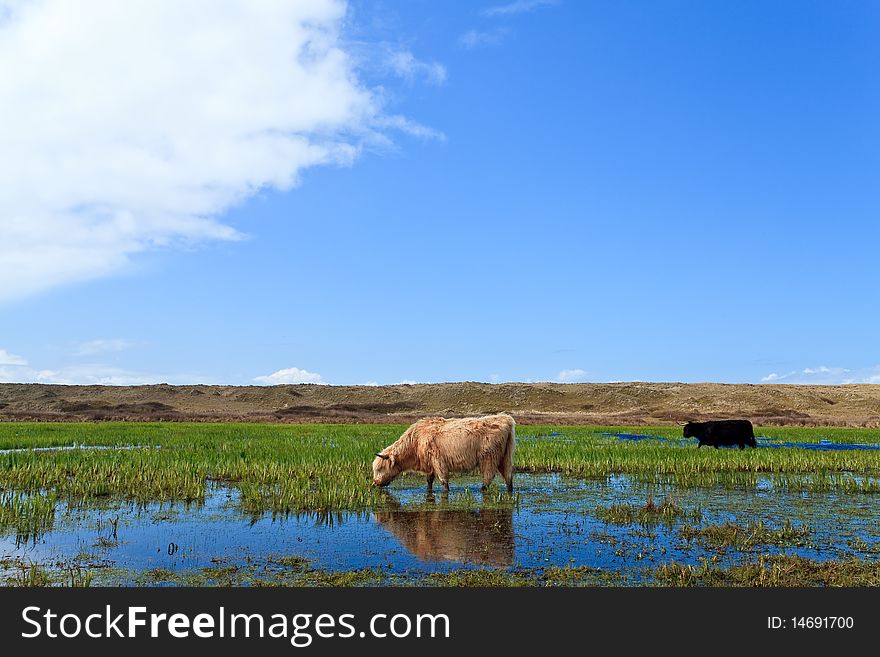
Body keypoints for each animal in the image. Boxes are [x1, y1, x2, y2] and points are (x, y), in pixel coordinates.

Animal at [370, 412, 516, 490]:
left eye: (380, 468)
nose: (375, 483)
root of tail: (505, 419)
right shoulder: (430, 465)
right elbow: (429, 481)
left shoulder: (438, 461)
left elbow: (444, 481)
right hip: (505, 457)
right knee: (508, 476)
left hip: (489, 457)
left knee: (488, 478)